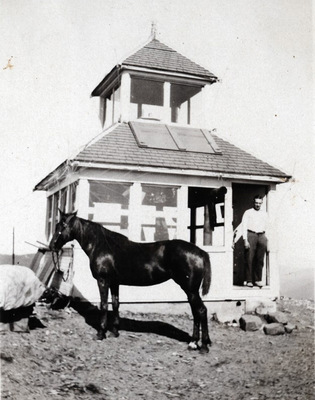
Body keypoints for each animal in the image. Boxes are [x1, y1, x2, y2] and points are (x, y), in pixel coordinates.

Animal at [49, 209, 212, 354]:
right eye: (56, 225)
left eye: (62, 225)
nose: (52, 246)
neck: (102, 245)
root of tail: (200, 252)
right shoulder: (114, 282)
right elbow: (115, 303)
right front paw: (115, 331)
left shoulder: (103, 281)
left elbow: (104, 304)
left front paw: (101, 333)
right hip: (190, 291)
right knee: (196, 312)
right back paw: (193, 343)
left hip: (190, 290)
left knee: (201, 311)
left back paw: (203, 346)